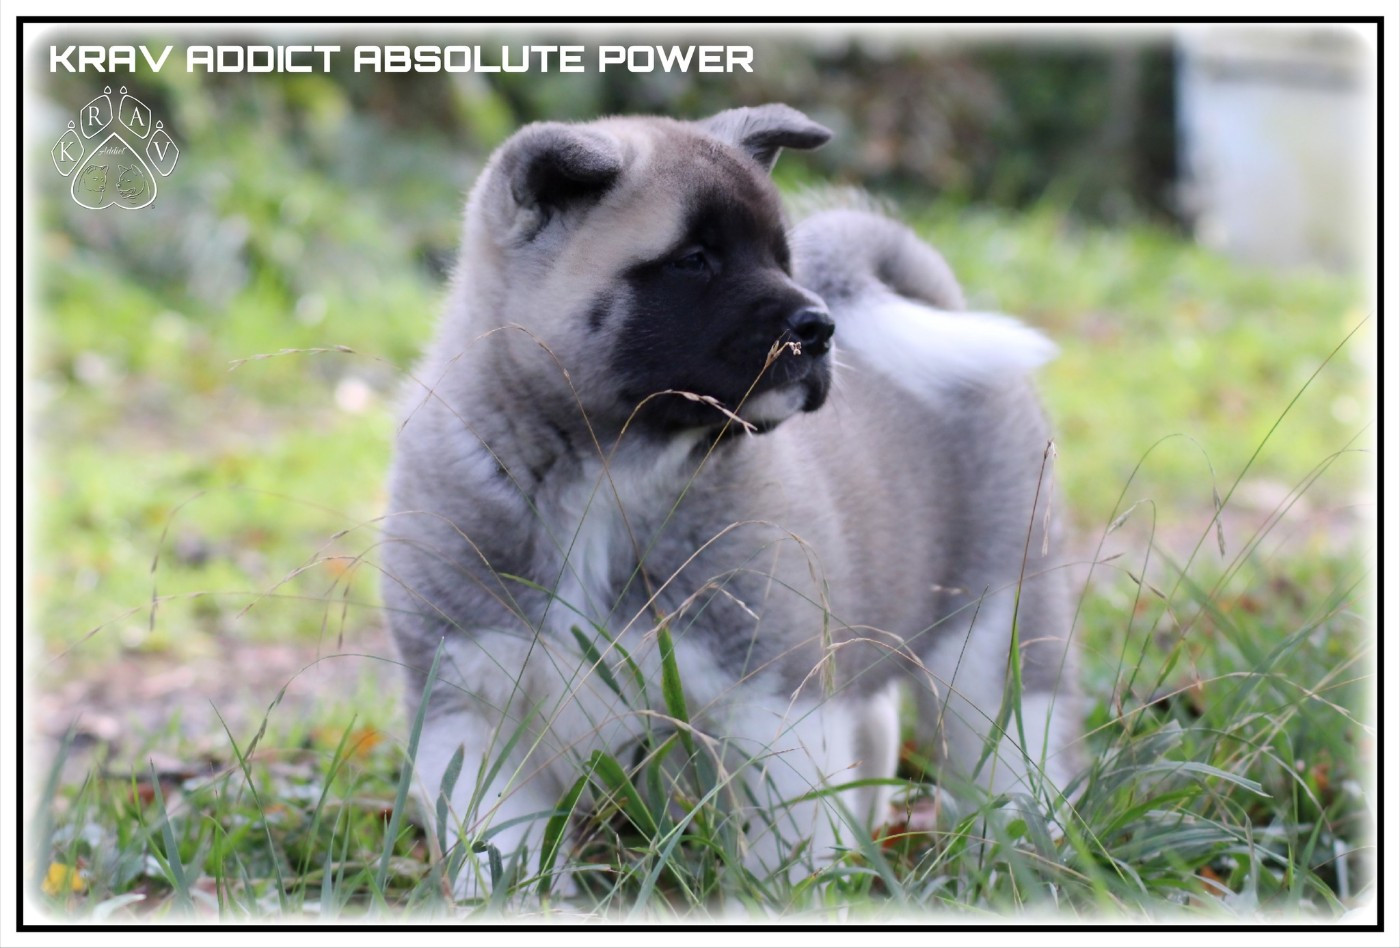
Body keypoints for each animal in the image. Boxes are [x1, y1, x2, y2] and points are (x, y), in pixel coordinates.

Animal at [380, 104, 1078, 898]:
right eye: (693, 259)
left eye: (781, 256)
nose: (820, 328)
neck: (608, 473)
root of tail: (940, 302)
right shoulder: (471, 711)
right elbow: (500, 856)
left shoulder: (771, 708)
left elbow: (787, 855)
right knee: (874, 733)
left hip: (996, 641)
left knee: (1015, 754)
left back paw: (1032, 863)